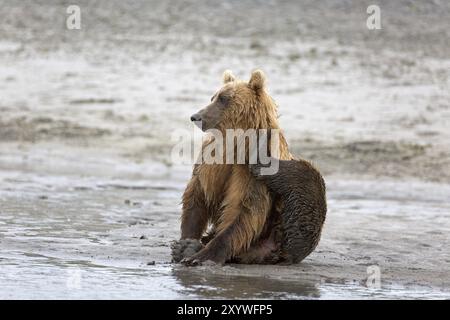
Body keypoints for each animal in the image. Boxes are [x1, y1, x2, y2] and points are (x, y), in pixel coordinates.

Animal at [172, 69, 326, 264]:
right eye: (213, 97)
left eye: (223, 98)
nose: (196, 117)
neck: (235, 143)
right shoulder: (210, 161)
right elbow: (197, 194)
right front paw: (184, 244)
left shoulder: (247, 169)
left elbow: (245, 209)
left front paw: (200, 256)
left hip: (285, 228)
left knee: (305, 181)